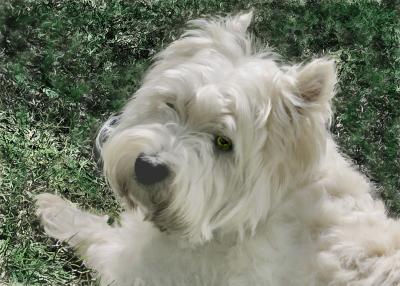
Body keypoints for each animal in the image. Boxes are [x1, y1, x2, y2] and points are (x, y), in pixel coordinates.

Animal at [36, 11, 398, 286]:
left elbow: (100, 236)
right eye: (172, 104)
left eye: (224, 143)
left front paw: (55, 209)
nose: (148, 167)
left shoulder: (146, 268)